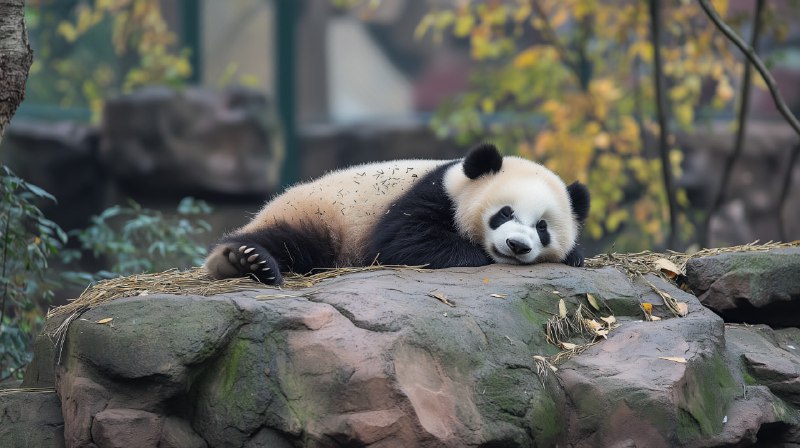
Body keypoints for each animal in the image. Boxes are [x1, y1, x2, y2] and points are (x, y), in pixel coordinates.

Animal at [204, 143, 590, 285]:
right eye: (504, 213)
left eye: (542, 227)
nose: (517, 245)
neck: (461, 181)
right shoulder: (433, 194)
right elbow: (401, 241)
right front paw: (473, 253)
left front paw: (574, 256)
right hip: (318, 215)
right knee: (289, 240)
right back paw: (244, 260)